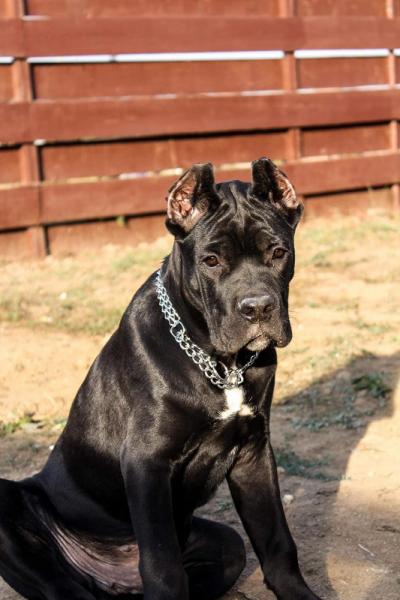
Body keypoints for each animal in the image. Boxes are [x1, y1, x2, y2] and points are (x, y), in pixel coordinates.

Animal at [0, 158, 322, 600]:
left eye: (278, 253)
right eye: (211, 261)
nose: (257, 307)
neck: (222, 364)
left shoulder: (254, 451)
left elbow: (275, 537)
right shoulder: (146, 462)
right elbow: (162, 564)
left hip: (222, 543)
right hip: (11, 504)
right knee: (61, 584)